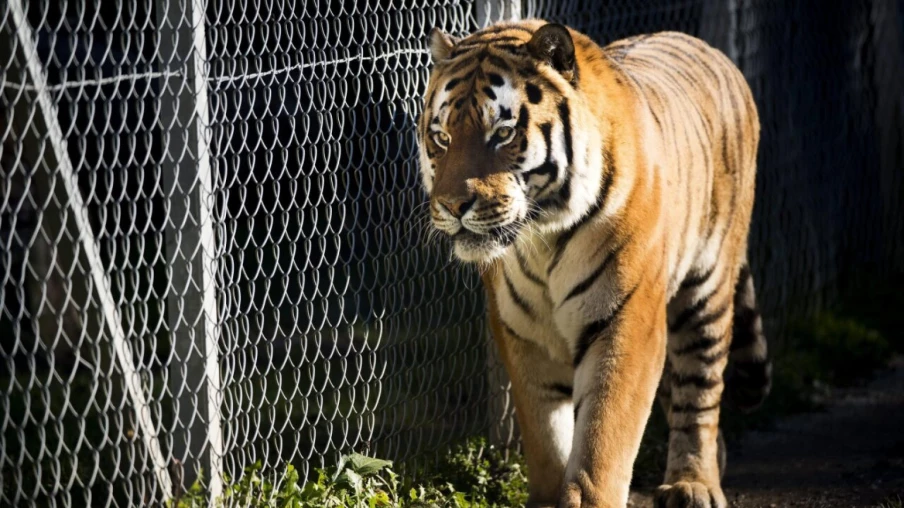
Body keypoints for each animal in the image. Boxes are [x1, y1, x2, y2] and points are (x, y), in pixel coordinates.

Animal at [416, 19, 771, 508]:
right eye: (442, 137)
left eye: (502, 134)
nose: (452, 206)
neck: (542, 238)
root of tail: (713, 51)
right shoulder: (523, 333)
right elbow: (547, 437)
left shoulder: (625, 319)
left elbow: (603, 438)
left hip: (706, 289)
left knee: (699, 392)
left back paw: (694, 483)